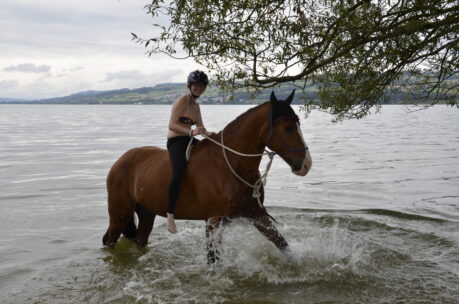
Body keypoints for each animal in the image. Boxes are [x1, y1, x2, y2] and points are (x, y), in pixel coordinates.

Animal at [103, 89, 312, 262]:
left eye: (298, 124)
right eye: (288, 128)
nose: (306, 165)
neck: (231, 164)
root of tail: (120, 161)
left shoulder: (256, 214)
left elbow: (283, 244)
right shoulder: (213, 220)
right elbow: (213, 259)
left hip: (146, 212)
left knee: (140, 240)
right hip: (120, 213)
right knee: (109, 240)